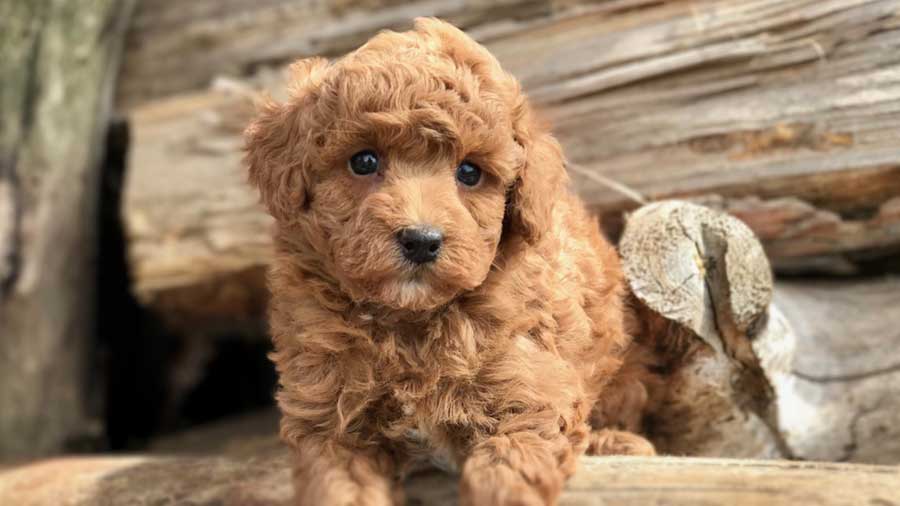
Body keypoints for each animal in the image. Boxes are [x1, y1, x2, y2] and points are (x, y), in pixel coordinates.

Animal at [246, 17, 652, 504]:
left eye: (470, 172)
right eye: (363, 161)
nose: (421, 240)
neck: (409, 324)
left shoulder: (529, 393)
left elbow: (506, 468)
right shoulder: (329, 417)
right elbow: (340, 487)